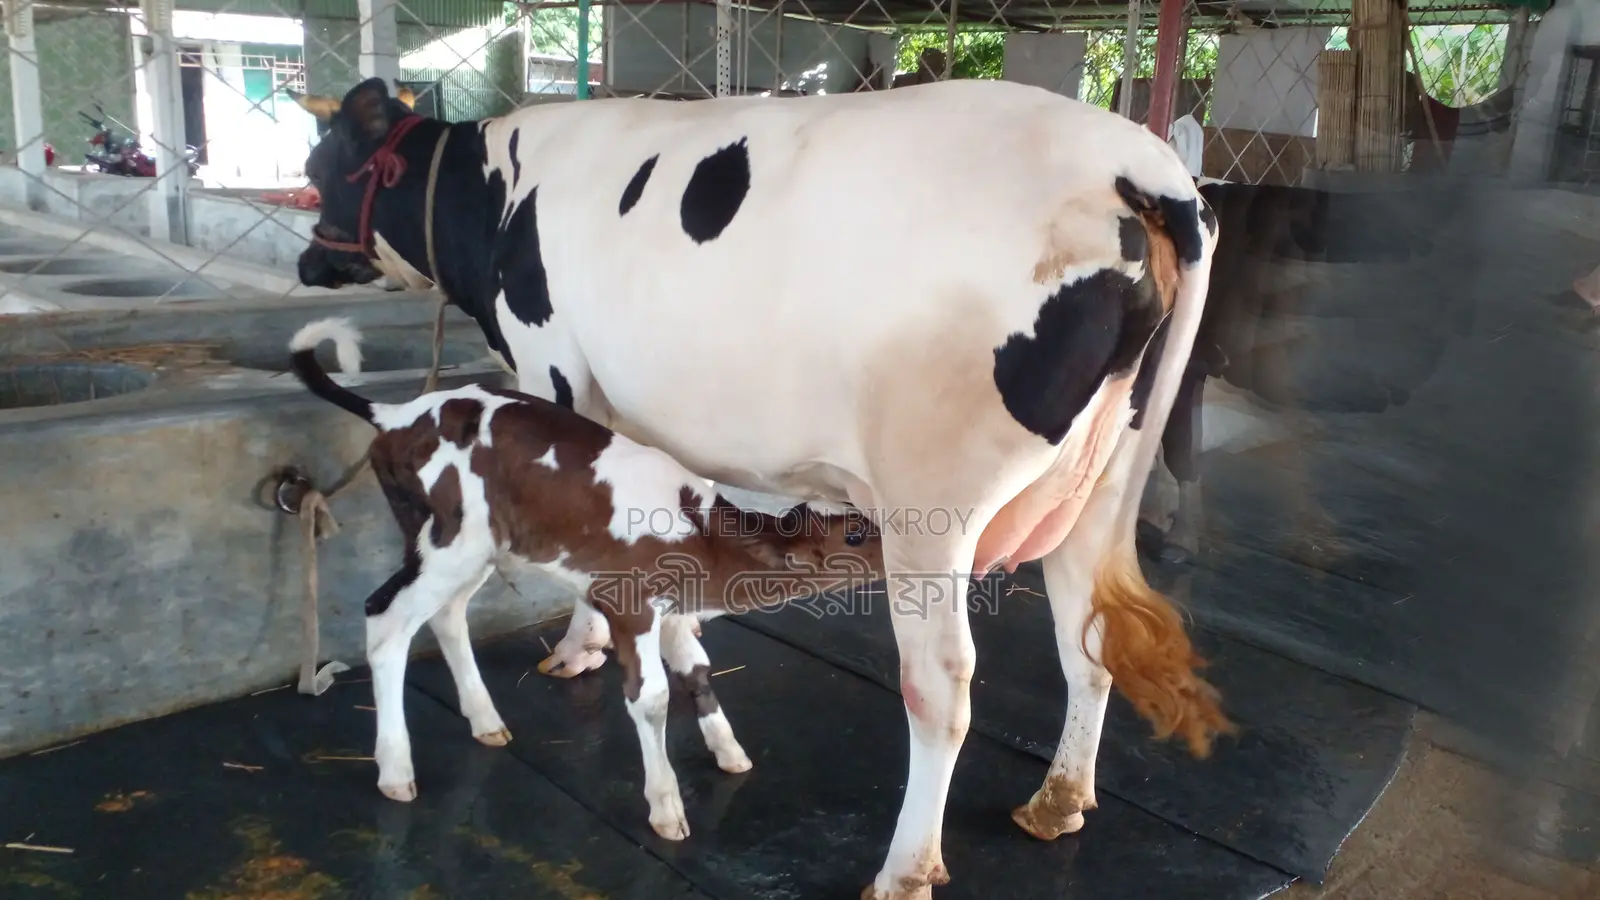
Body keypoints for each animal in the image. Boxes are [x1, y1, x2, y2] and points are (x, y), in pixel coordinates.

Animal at [289, 76, 1226, 899]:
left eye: (319, 166)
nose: (306, 263)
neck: (496, 190)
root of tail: (1140, 162)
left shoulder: (554, 365)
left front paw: (579, 646)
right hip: (1101, 484)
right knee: (1087, 640)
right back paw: (1057, 802)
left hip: (934, 501)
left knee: (942, 684)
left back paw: (904, 869)